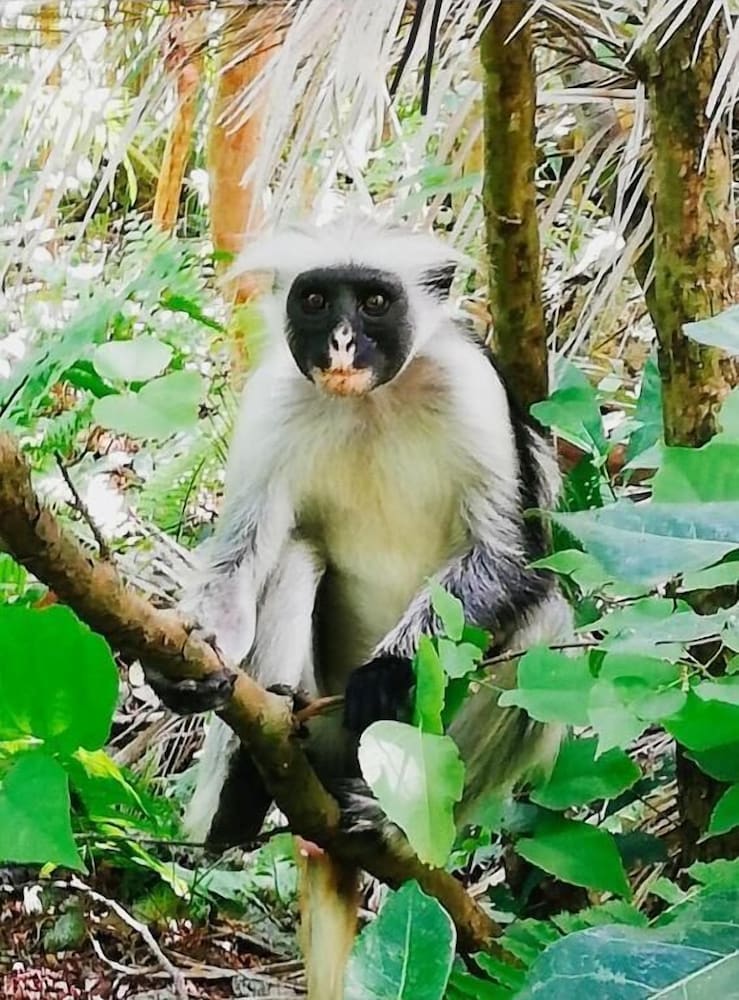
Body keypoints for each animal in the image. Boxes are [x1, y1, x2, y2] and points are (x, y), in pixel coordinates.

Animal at [150, 216, 572, 999]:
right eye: (317, 300)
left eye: (375, 302)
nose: (343, 344)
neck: (370, 402)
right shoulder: (276, 395)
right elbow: (240, 552)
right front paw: (190, 660)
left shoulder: (471, 386)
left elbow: (512, 554)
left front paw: (387, 672)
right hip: (319, 720)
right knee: (296, 551)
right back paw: (248, 781)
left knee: (543, 623)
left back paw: (387, 819)